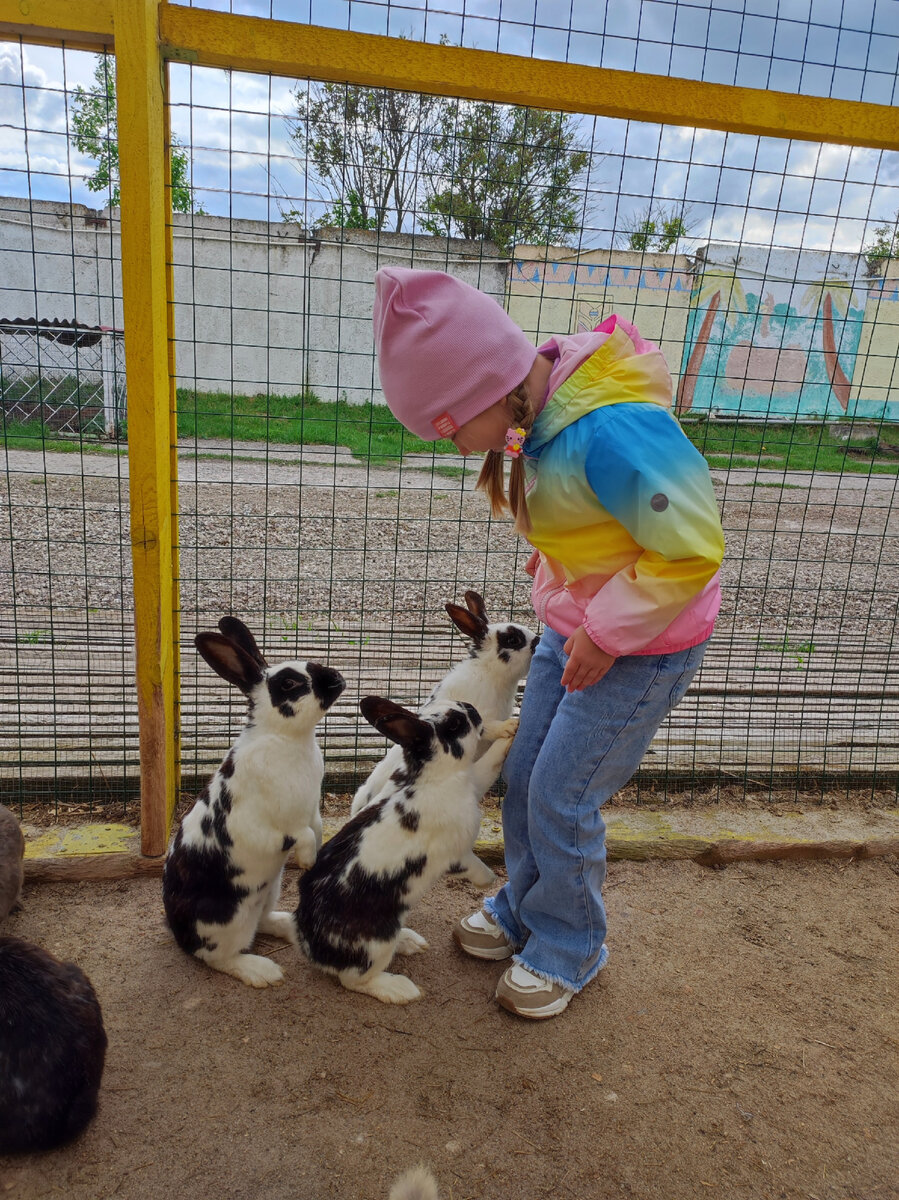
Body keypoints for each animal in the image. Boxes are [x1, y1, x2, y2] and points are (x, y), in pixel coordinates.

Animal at [160, 614, 343, 988]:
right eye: (289, 683)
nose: (337, 678)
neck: (286, 738)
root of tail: (180, 934)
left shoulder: (312, 813)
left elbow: (316, 828)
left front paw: (316, 857)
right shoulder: (260, 827)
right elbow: (300, 834)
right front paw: (307, 860)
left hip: (268, 892)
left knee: (265, 922)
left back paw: (289, 924)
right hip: (227, 920)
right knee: (219, 957)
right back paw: (262, 971)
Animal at [296, 691, 516, 1008]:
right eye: (454, 724)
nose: (472, 709)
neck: (432, 778)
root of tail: (311, 945)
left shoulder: (475, 779)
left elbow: (490, 763)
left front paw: (512, 728)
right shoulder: (456, 854)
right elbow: (474, 867)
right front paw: (490, 880)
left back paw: (410, 942)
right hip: (376, 943)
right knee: (353, 980)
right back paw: (401, 989)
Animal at [348, 590, 532, 816]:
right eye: (513, 639)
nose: (538, 641)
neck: (490, 674)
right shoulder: (475, 715)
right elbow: (487, 727)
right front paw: (509, 726)